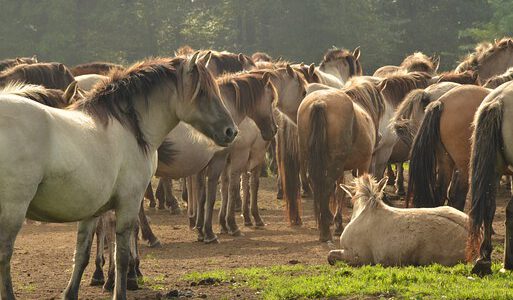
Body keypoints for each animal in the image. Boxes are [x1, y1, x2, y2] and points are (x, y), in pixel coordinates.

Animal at [0, 54, 236, 300]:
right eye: (203, 92)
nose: (231, 131)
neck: (130, 128)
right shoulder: (129, 203)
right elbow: (121, 254)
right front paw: (122, 285)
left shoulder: (92, 210)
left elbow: (81, 255)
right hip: (14, 209)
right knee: (5, 255)